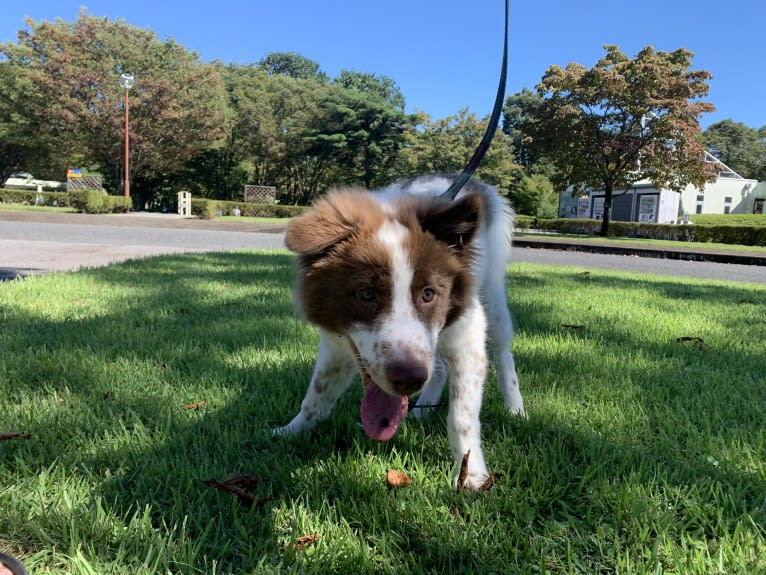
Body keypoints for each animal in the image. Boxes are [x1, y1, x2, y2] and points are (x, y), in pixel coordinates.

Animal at [272, 176, 524, 490]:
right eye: (366, 293)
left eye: (428, 294)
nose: (410, 379)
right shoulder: (338, 344)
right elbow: (318, 393)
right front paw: (292, 429)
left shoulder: (468, 333)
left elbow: (462, 414)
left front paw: (472, 476)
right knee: (440, 367)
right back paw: (422, 409)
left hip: (492, 295)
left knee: (502, 351)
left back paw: (516, 408)